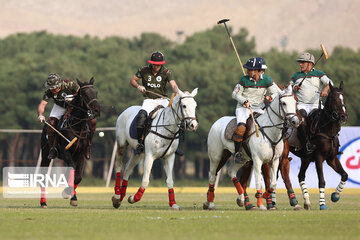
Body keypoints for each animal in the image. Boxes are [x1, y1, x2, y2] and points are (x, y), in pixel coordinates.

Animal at [39, 78, 100, 207]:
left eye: (95, 92)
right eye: (85, 94)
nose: (97, 110)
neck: (77, 126)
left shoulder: (80, 154)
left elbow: (78, 177)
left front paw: (72, 196)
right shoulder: (65, 152)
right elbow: (73, 171)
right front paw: (67, 193)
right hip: (45, 155)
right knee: (43, 178)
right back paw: (43, 202)